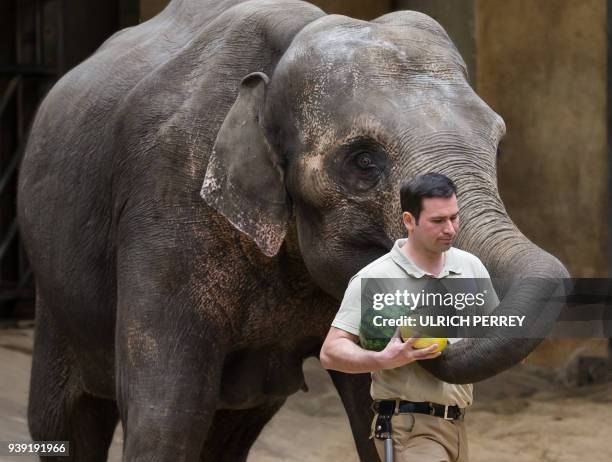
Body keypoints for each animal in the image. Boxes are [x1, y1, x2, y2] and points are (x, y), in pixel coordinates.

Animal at [15, 0, 568, 460]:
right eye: (363, 161)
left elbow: (370, 407)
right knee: (66, 421)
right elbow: (165, 412)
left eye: (498, 146)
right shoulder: (164, 201)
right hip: (53, 291)